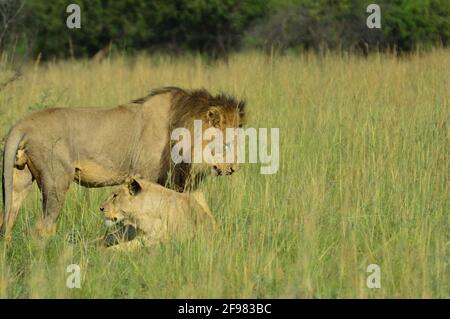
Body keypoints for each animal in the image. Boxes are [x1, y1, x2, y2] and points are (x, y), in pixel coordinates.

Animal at [0, 87, 246, 240]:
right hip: (56, 180)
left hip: (19, 179)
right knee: (43, 227)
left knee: (8, 219)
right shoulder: (146, 175)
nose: (233, 169)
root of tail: (23, 123)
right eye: (226, 143)